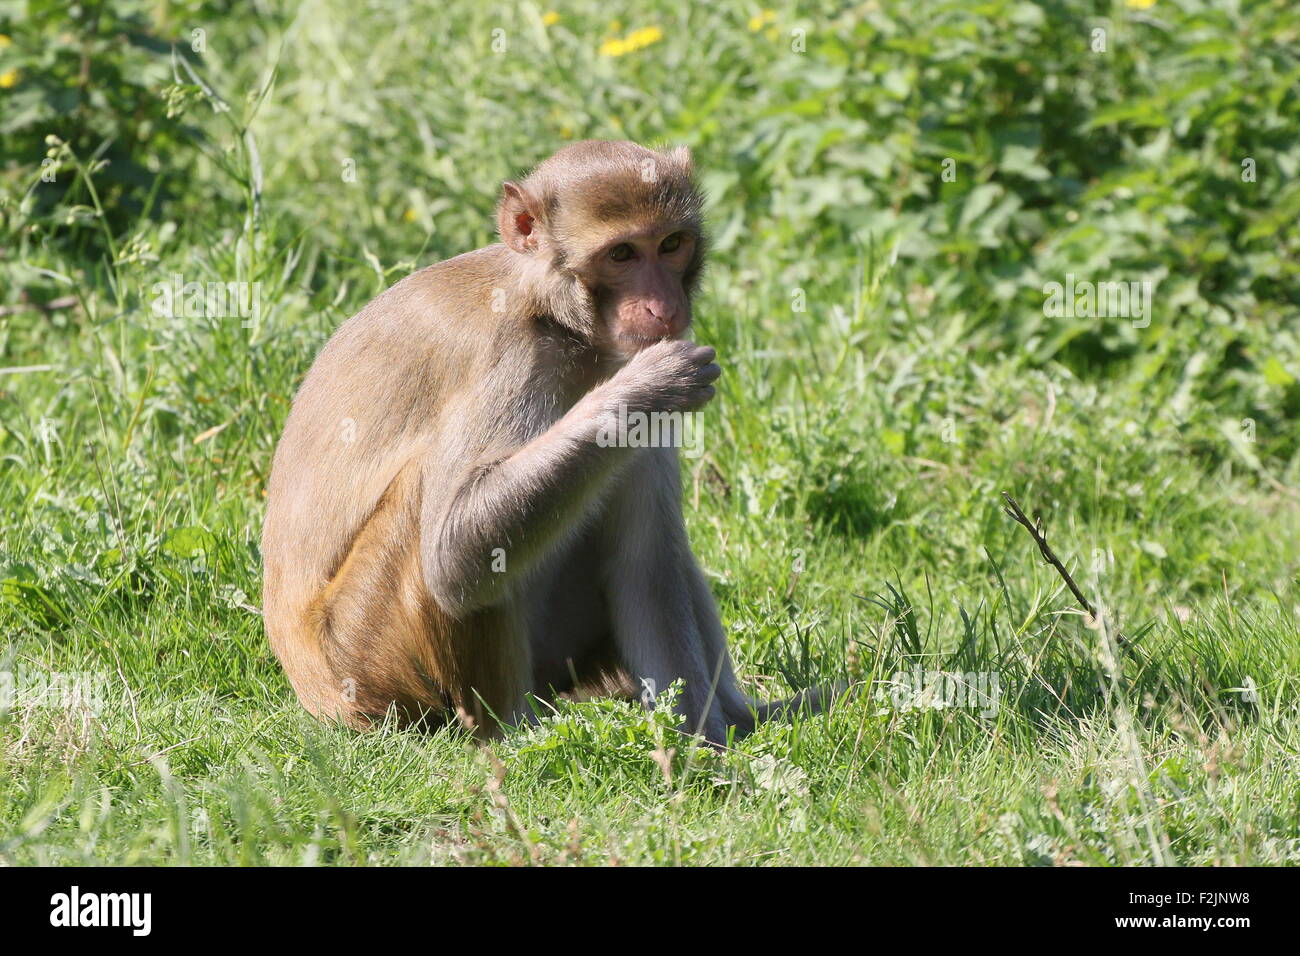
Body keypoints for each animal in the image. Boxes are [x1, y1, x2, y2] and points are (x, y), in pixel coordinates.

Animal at [261, 140, 832, 749]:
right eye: (622, 254)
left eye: (671, 244)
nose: (664, 306)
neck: (562, 321)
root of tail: (316, 695)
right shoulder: (509, 354)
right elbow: (456, 551)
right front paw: (645, 389)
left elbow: (646, 564)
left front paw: (707, 747)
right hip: (369, 662)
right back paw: (518, 736)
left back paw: (749, 717)